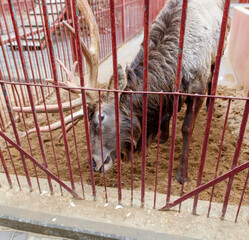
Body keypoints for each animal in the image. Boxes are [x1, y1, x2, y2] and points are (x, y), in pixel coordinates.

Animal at [13, 0, 230, 183]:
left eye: (101, 116)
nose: (94, 163)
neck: (173, 74)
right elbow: (166, 115)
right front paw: (162, 137)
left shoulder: (197, 87)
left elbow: (186, 128)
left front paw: (181, 175)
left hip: (219, 53)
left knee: (215, 75)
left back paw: (211, 104)